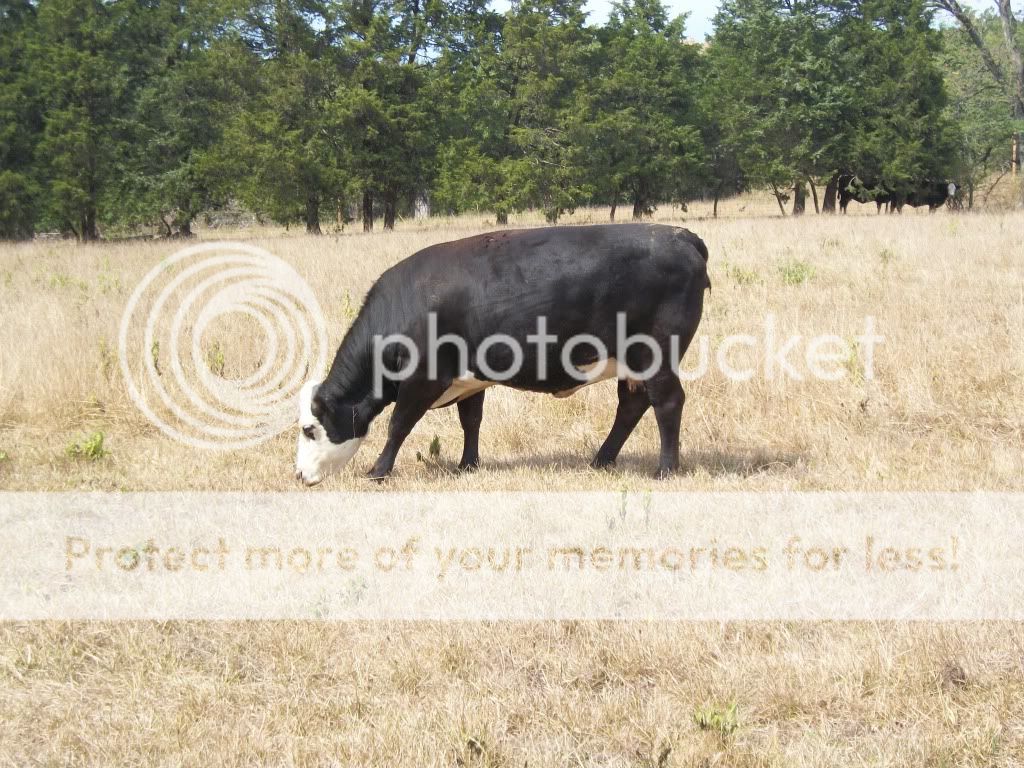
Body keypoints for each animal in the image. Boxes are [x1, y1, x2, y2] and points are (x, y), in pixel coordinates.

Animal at [294, 224, 710, 485]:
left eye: (309, 429)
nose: (299, 476)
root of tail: (681, 235)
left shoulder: (422, 378)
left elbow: (399, 424)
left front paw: (378, 471)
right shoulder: (469, 380)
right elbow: (471, 421)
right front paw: (468, 465)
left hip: (655, 356)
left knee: (667, 402)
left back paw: (665, 469)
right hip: (633, 363)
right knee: (631, 405)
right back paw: (601, 460)